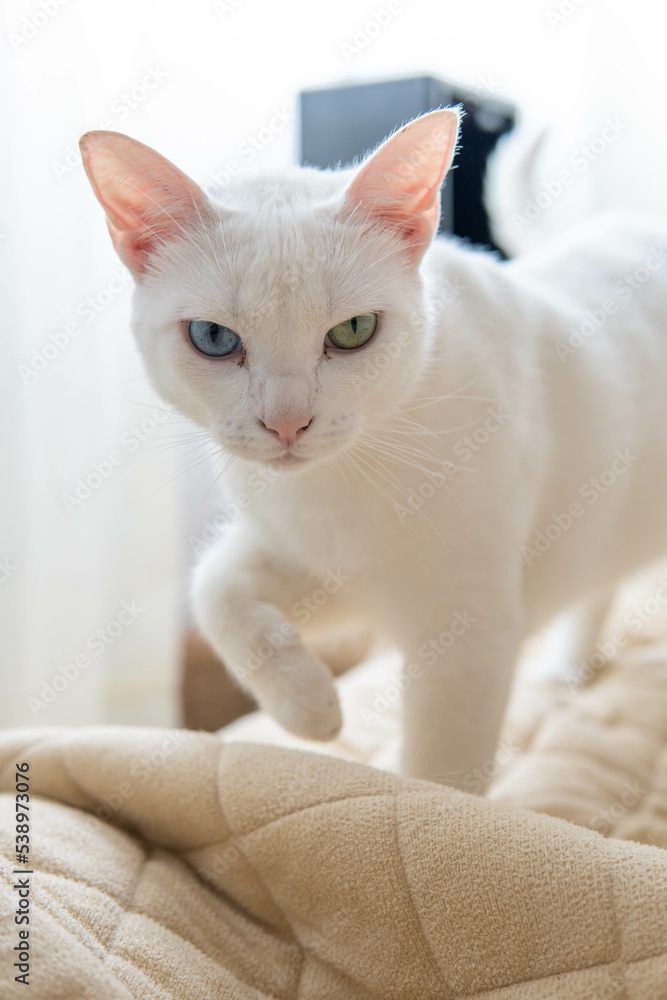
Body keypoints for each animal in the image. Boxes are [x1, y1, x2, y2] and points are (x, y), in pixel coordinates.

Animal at [79, 109, 667, 788]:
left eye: (353, 331)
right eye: (213, 337)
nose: (287, 423)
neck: (337, 492)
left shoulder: (467, 635)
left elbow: (439, 776)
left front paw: (415, 798)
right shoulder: (314, 565)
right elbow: (214, 588)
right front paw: (309, 708)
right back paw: (564, 671)